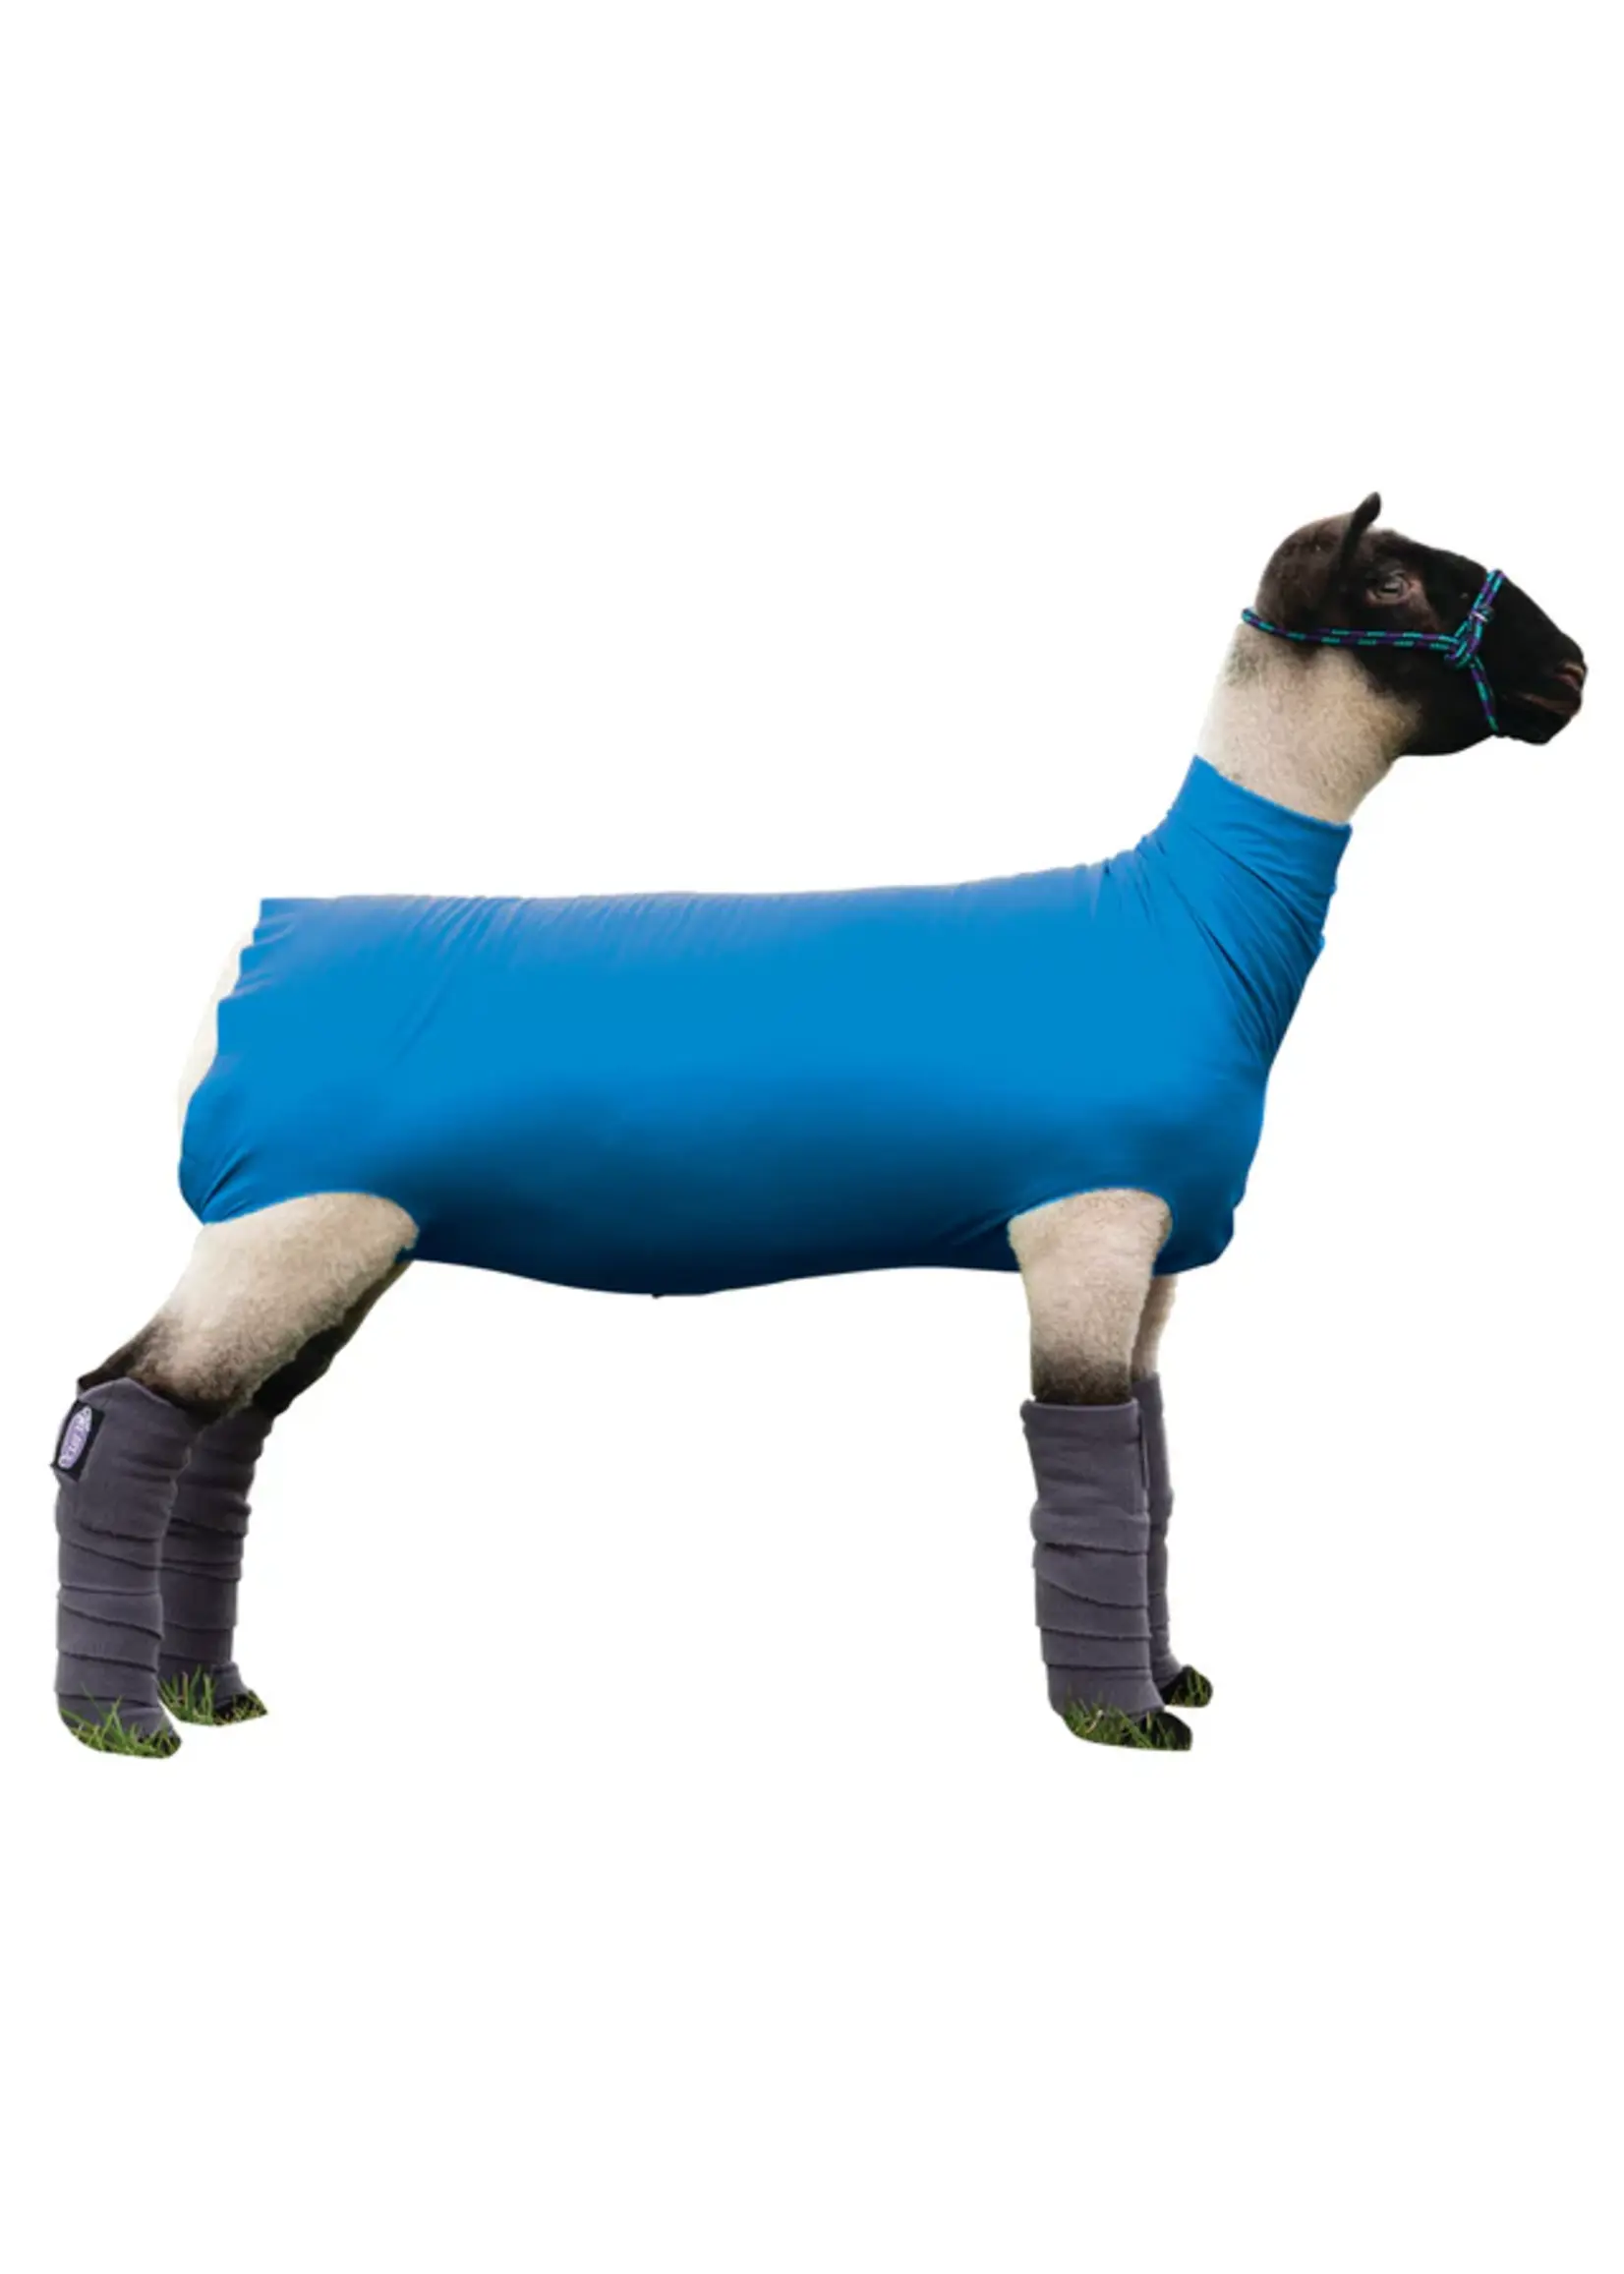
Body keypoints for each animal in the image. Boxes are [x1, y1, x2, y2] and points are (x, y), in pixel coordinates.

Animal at [51, 493, 1587, 1758]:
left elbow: (1150, 1471)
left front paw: (1169, 1677)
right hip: (285, 1226)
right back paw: (121, 1724)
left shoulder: (1152, 1258)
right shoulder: (1083, 1230)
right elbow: (1085, 1470)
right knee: (121, 1412)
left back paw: (210, 1692)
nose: (1572, 672)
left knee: (222, 1439)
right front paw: (1118, 1717)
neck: (1189, 923)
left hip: (341, 1241)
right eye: (1390, 579)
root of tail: (247, 959)